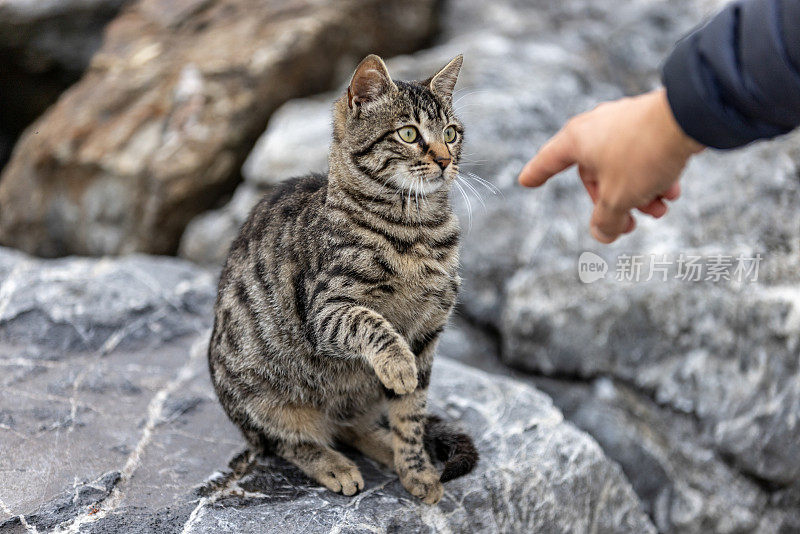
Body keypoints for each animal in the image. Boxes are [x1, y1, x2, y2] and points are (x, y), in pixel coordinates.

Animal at [209, 54, 478, 506]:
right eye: (408, 133)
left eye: (451, 133)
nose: (445, 160)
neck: (416, 230)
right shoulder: (325, 310)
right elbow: (371, 323)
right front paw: (397, 365)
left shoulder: (429, 331)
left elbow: (411, 413)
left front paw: (417, 469)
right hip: (262, 401)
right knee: (287, 442)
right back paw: (334, 466)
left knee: (352, 425)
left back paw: (385, 447)